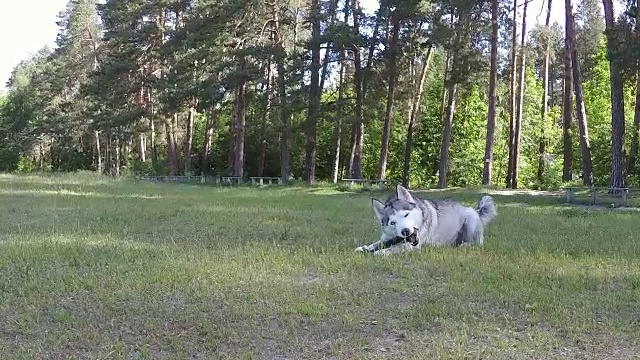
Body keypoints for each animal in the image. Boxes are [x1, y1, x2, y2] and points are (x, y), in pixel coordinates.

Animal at [356, 186, 496, 256]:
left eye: (406, 214)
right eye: (392, 223)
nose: (405, 231)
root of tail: (475, 210)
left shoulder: (412, 246)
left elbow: (394, 248)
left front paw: (382, 252)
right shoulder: (388, 237)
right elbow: (377, 243)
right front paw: (365, 248)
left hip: (470, 221)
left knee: (476, 244)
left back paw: (464, 245)